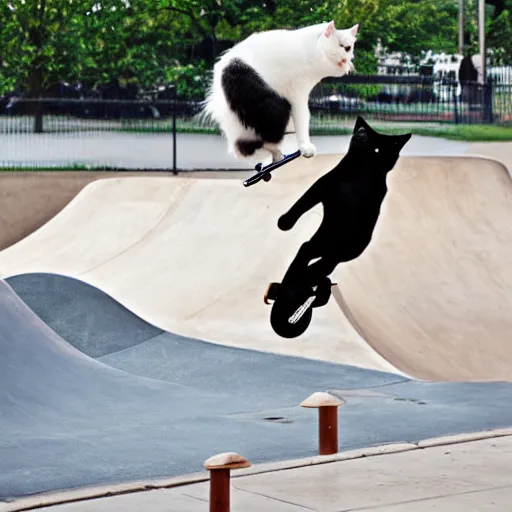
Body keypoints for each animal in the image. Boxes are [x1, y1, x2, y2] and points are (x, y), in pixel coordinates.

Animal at [202, 21, 358, 162]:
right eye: (343, 47)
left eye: (350, 48)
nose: (348, 59)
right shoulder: (297, 93)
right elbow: (303, 118)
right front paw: (306, 147)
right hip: (265, 103)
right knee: (256, 144)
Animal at [264, 117, 412, 308]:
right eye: (366, 138)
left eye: (379, 149)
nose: (361, 135)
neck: (360, 174)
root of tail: (328, 247)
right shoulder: (323, 185)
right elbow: (302, 203)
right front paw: (285, 223)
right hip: (321, 241)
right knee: (308, 251)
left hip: (339, 250)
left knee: (321, 264)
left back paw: (299, 280)